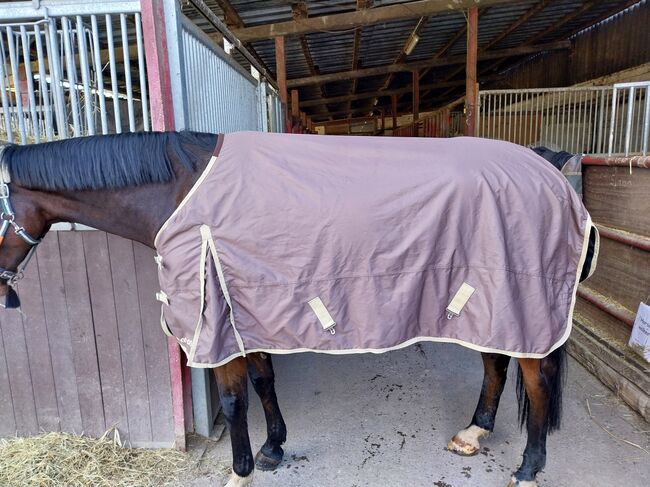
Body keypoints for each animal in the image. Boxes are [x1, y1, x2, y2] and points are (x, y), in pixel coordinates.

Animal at [0, 131, 596, 487]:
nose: (3, 289)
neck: (181, 190)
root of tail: (549, 169)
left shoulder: (218, 325)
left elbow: (234, 400)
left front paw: (241, 470)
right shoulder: (248, 312)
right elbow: (263, 382)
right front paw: (272, 448)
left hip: (519, 300)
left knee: (536, 379)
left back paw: (528, 468)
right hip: (492, 306)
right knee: (497, 364)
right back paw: (473, 433)